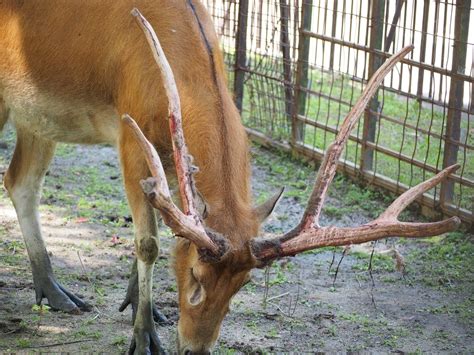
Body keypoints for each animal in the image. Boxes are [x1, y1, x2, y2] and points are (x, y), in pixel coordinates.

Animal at [0, 1, 460, 354]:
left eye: (243, 285)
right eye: (194, 276)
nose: (195, 348)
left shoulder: (169, 158)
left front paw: (142, 308)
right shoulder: (129, 138)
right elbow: (148, 243)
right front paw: (144, 336)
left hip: (36, 118)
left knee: (19, 181)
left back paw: (55, 292)